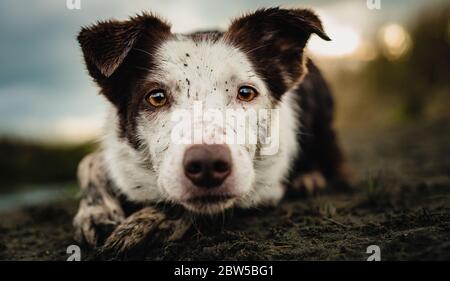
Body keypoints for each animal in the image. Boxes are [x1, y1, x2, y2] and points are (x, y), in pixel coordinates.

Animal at [74, 7, 348, 253]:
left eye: (246, 92)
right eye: (157, 97)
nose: (207, 164)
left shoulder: (262, 188)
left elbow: (192, 205)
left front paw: (148, 223)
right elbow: (88, 163)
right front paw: (96, 212)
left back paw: (308, 177)